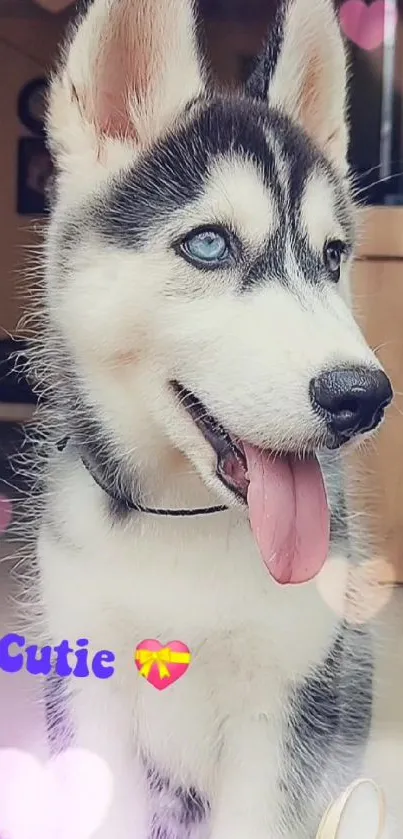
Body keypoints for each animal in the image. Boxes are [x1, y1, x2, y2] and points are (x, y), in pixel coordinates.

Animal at [29, 0, 400, 836]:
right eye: (207, 244)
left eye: (333, 257)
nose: (362, 397)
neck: (181, 523)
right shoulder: (89, 683)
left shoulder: (287, 709)